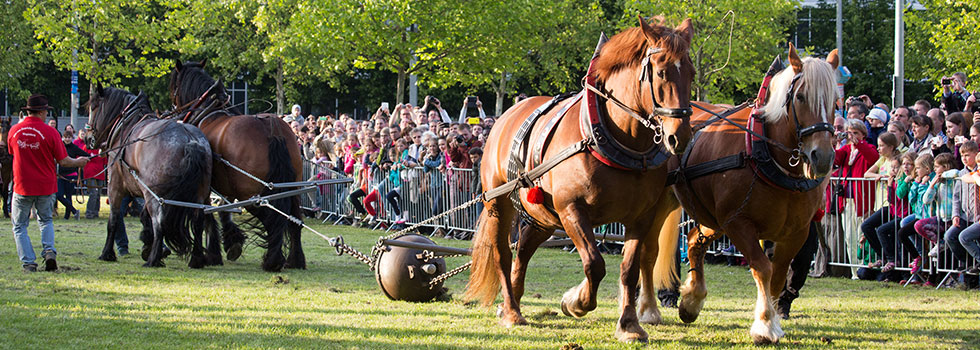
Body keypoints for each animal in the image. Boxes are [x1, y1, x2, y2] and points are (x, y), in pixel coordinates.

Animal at [87, 86, 219, 266]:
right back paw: (196, 259)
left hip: (156, 196)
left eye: (93, 107)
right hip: (199, 193)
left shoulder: (116, 186)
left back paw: (153, 259)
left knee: (159, 222)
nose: (88, 138)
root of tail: (190, 141)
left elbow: (113, 220)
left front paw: (107, 253)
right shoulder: (144, 191)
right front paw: (148, 243)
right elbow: (143, 217)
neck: (126, 126)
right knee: (198, 221)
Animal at [169, 61, 306, 272]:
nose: (175, 108)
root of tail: (272, 129)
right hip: (291, 189)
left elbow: (209, 215)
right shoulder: (226, 187)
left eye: (173, 85)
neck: (208, 111)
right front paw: (231, 242)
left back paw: (273, 260)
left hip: (251, 194)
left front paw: (215, 252)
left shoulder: (207, 186)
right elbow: (224, 211)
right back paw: (294, 260)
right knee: (294, 220)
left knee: (272, 219)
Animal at [468, 17, 696, 342]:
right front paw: (576, 301)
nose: (680, 137)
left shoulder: (642, 215)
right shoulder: (571, 209)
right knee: (502, 254)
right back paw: (512, 311)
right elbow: (594, 263)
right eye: (662, 71)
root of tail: (506, 116)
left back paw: (512, 300)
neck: (617, 139)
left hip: (543, 215)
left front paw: (629, 324)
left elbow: (629, 269)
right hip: (499, 204)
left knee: (523, 250)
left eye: (690, 73)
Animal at [644, 44, 844, 344]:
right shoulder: (738, 223)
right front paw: (765, 324)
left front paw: (773, 318)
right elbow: (763, 267)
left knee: (693, 241)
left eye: (835, 102)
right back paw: (647, 309)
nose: (822, 157)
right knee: (648, 251)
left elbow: (778, 275)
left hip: (712, 216)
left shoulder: (796, 232)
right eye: (800, 97)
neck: (767, 156)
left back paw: (692, 300)